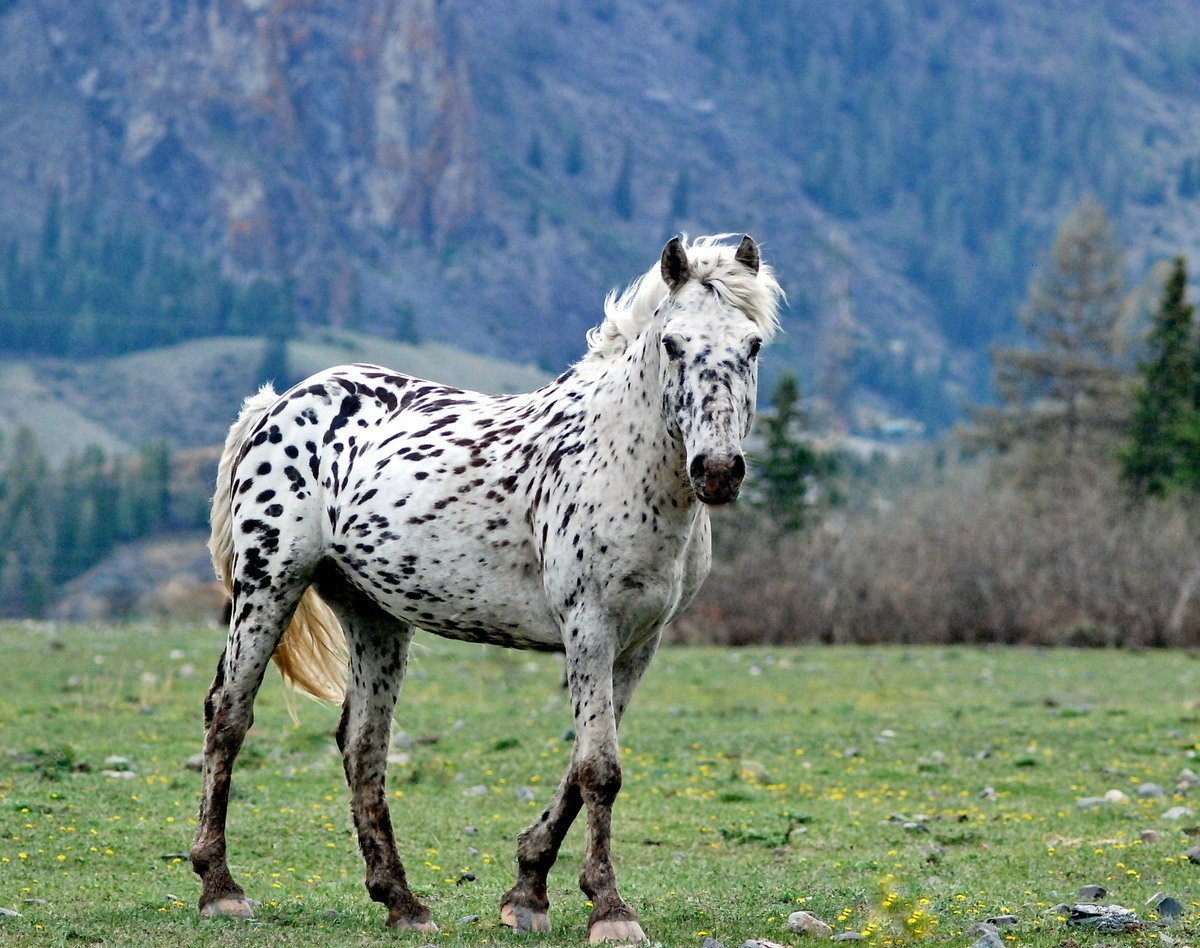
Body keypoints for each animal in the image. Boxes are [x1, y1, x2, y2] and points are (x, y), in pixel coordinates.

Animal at [191, 234, 783, 943]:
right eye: (672, 343)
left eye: (752, 345)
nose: (717, 471)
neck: (619, 460)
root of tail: (277, 403)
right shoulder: (589, 625)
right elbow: (599, 769)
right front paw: (610, 911)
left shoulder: (640, 641)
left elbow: (583, 765)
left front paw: (528, 891)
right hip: (268, 583)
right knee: (228, 716)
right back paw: (220, 888)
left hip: (372, 612)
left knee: (363, 744)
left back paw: (401, 901)